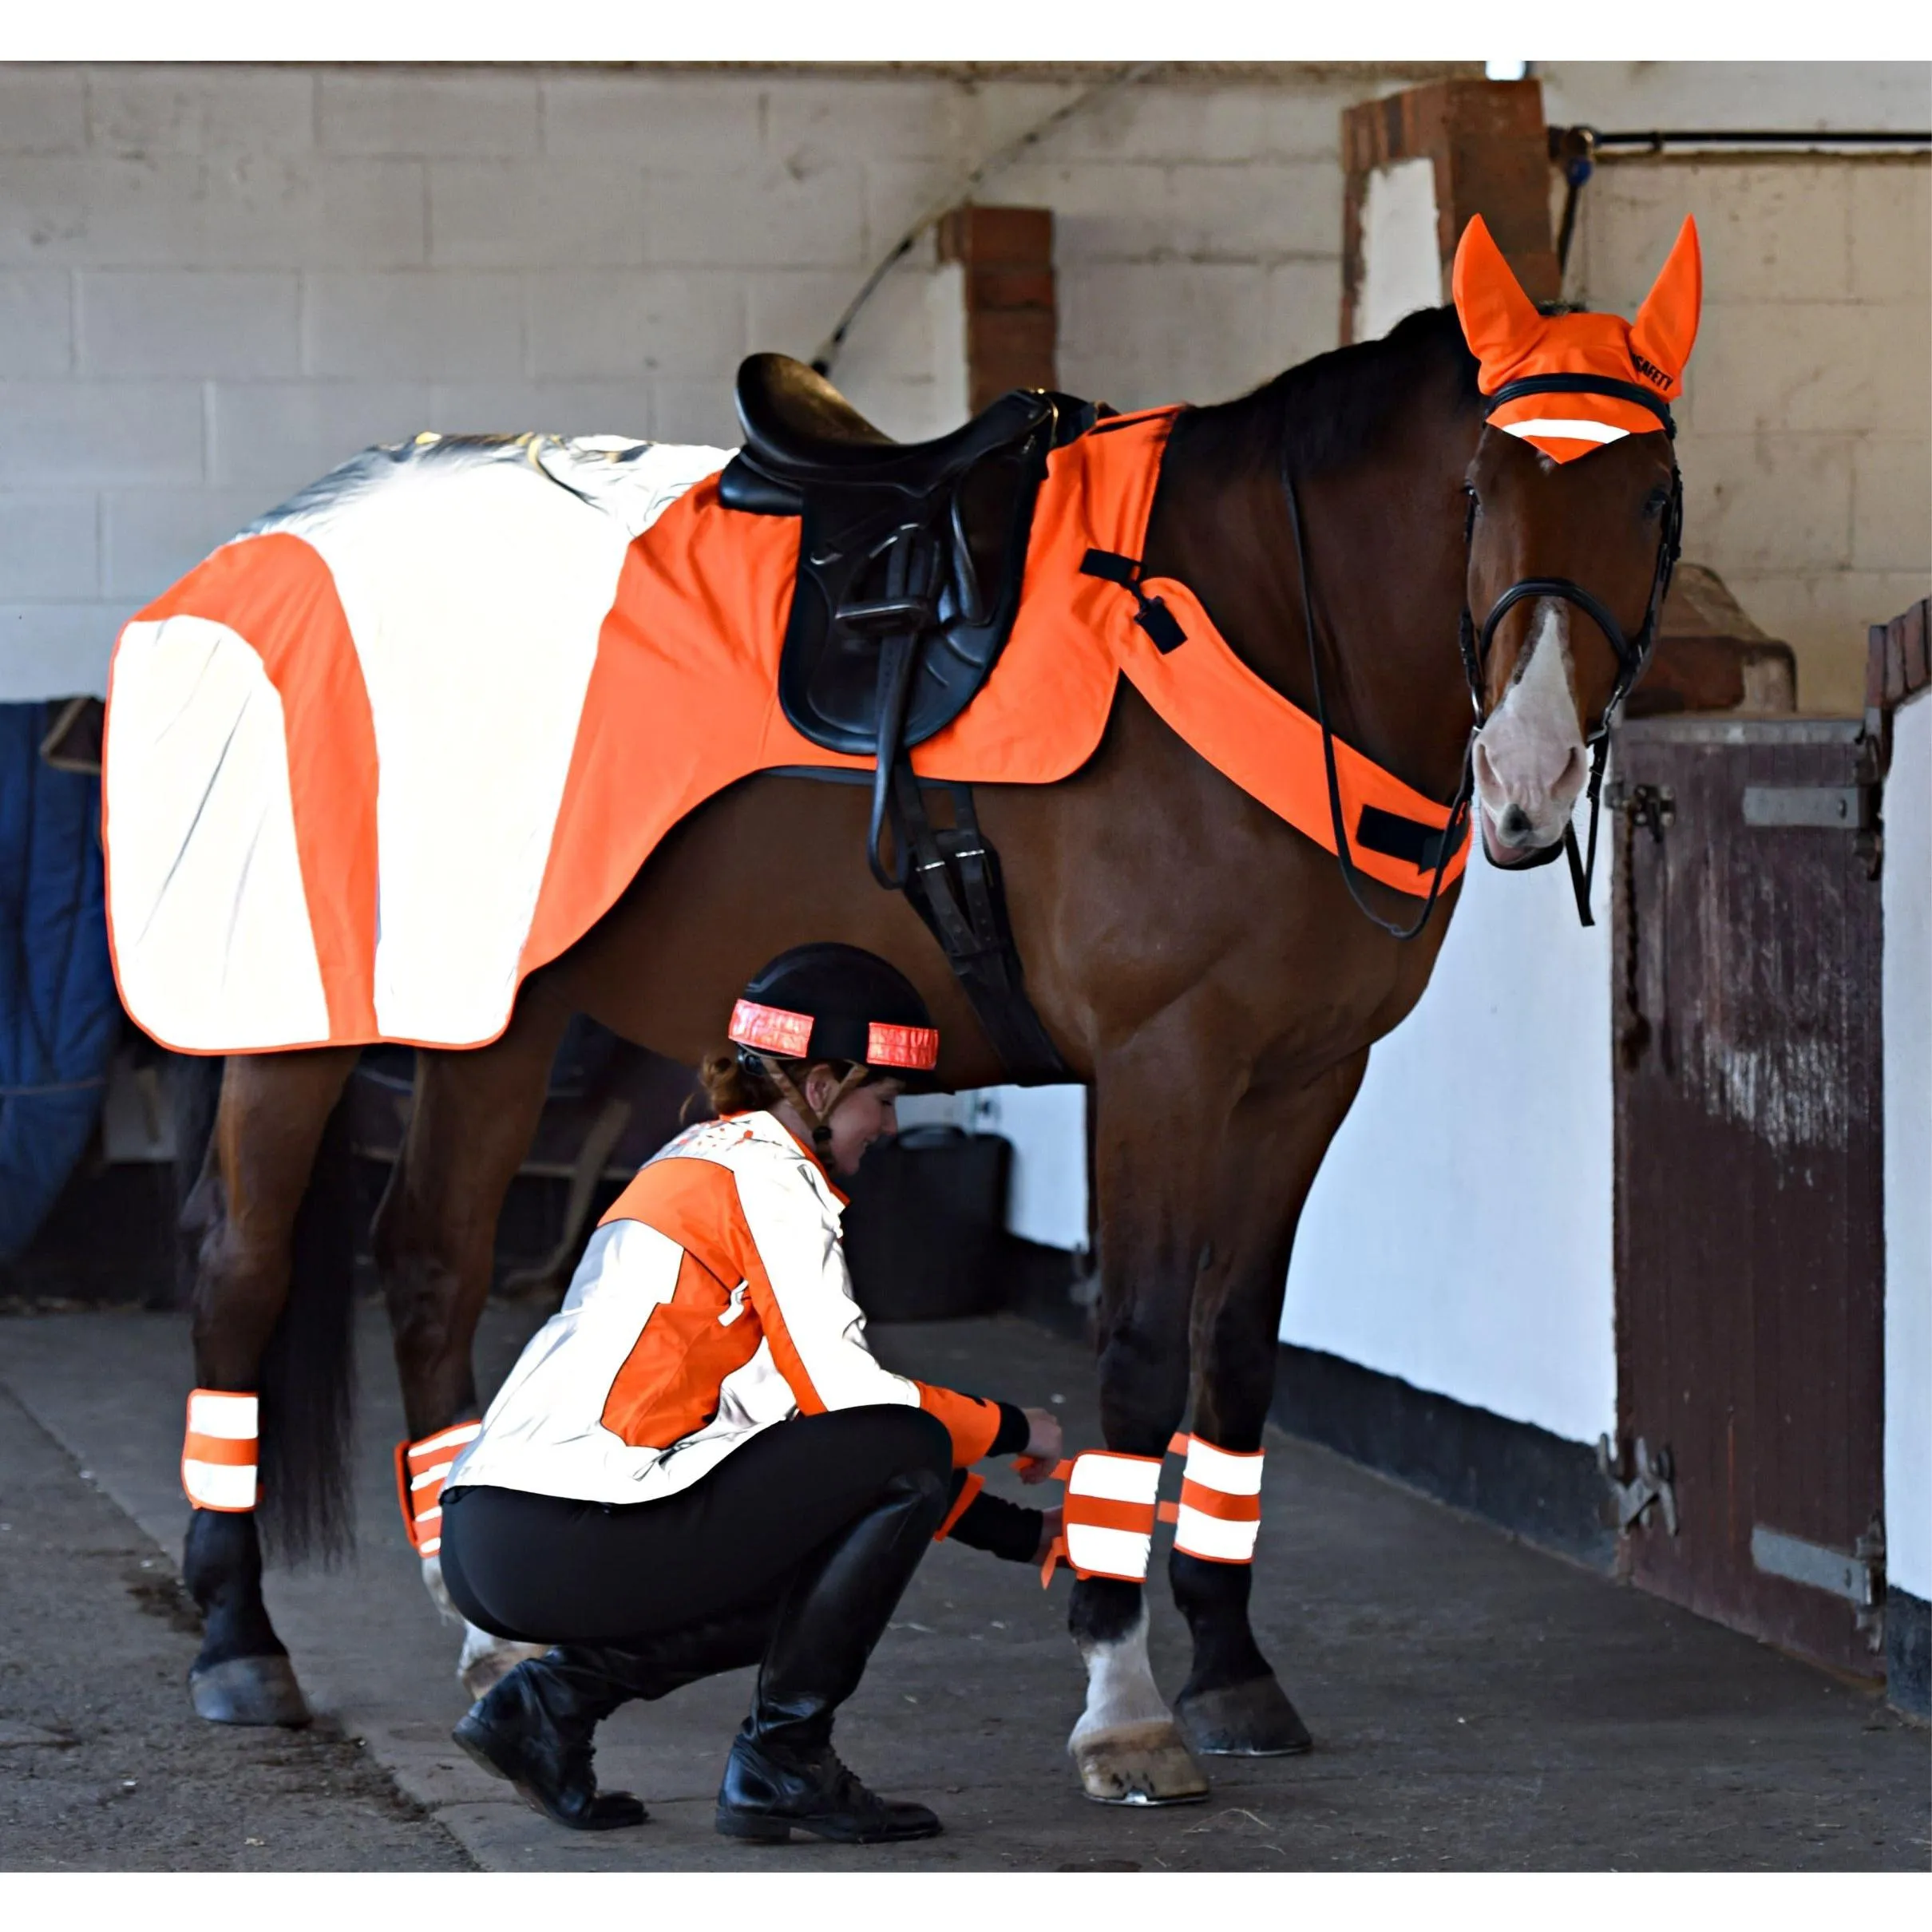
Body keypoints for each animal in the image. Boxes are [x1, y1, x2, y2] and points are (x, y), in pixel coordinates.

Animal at [173, 249, 1700, 1800]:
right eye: (1479, 485)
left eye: (1653, 493)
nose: (1527, 775)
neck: (1258, 619)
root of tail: (281, 535)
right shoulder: (1163, 1066)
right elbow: (1140, 1353)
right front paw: (1123, 1702)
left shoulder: (1306, 1079)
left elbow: (1236, 1355)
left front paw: (1231, 1670)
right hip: (302, 1012)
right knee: (242, 1267)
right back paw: (240, 1642)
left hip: (501, 1014)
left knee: (432, 1261)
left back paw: (487, 1633)